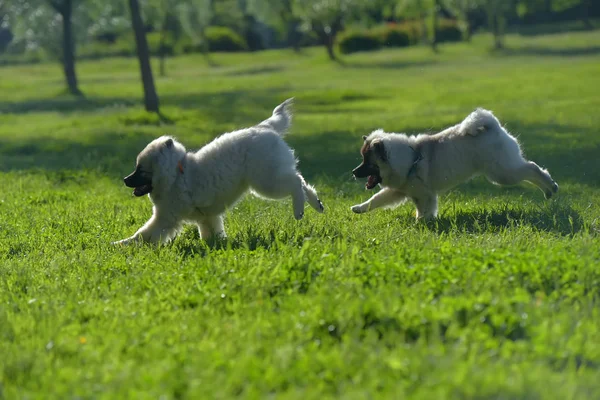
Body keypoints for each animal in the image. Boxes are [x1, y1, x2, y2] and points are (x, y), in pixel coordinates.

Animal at [112, 98, 324, 245]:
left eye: (140, 170)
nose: (125, 179)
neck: (176, 174)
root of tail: (265, 128)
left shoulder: (165, 218)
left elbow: (142, 235)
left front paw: (121, 244)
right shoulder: (207, 217)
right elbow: (210, 232)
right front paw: (216, 245)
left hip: (266, 182)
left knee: (295, 182)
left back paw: (299, 210)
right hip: (272, 174)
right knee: (300, 180)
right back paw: (316, 204)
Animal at [352, 108, 556, 219]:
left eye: (368, 162)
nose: (354, 172)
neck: (411, 158)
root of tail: (494, 127)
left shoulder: (424, 195)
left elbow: (425, 209)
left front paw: (422, 222)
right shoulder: (399, 191)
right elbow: (376, 199)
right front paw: (360, 208)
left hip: (502, 173)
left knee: (532, 168)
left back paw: (550, 187)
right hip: (503, 171)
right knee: (529, 169)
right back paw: (549, 190)